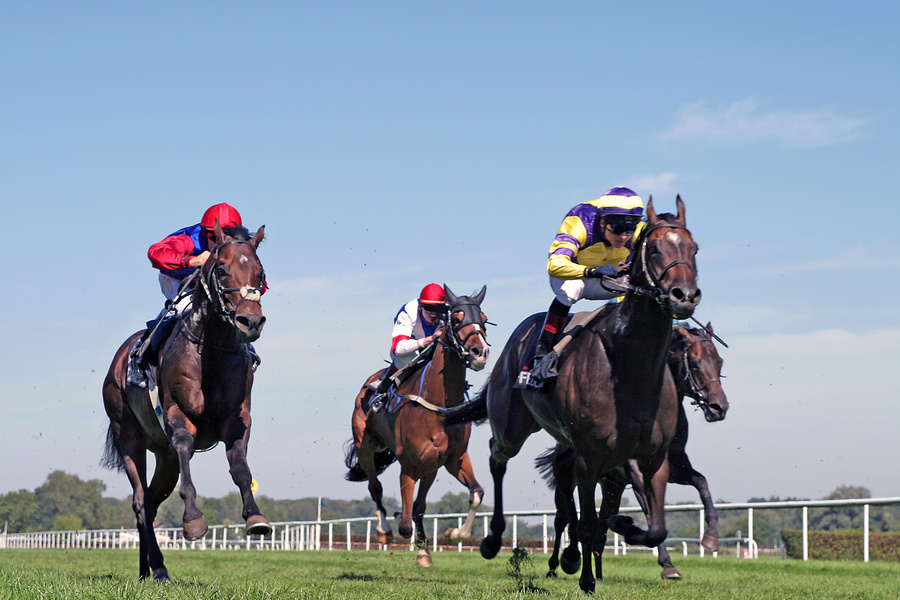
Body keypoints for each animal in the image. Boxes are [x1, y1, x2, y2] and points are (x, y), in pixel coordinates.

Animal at [102, 223, 268, 580]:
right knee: (140, 500)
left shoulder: (237, 419)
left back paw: (148, 569)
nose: (250, 322)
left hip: (163, 458)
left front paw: (255, 517)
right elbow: (184, 449)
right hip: (128, 436)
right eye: (222, 269)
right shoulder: (178, 417)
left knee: (150, 503)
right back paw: (158, 567)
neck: (213, 350)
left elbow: (240, 468)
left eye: (260, 273)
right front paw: (193, 520)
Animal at [342, 286, 488, 568]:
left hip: (430, 466)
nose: (480, 352)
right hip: (364, 445)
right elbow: (405, 523)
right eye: (456, 318)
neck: (438, 403)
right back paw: (383, 530)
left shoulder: (453, 458)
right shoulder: (408, 465)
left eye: (484, 319)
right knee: (375, 486)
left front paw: (452, 535)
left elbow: (476, 493)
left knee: (418, 506)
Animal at [536, 324, 728, 580]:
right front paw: (667, 565)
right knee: (563, 519)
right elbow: (649, 513)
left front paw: (712, 537)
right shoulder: (637, 473)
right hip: (570, 476)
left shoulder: (675, 467)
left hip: (612, 486)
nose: (719, 407)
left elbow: (702, 483)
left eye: (719, 361)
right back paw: (558, 563)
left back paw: (598, 572)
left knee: (599, 524)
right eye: (695, 363)